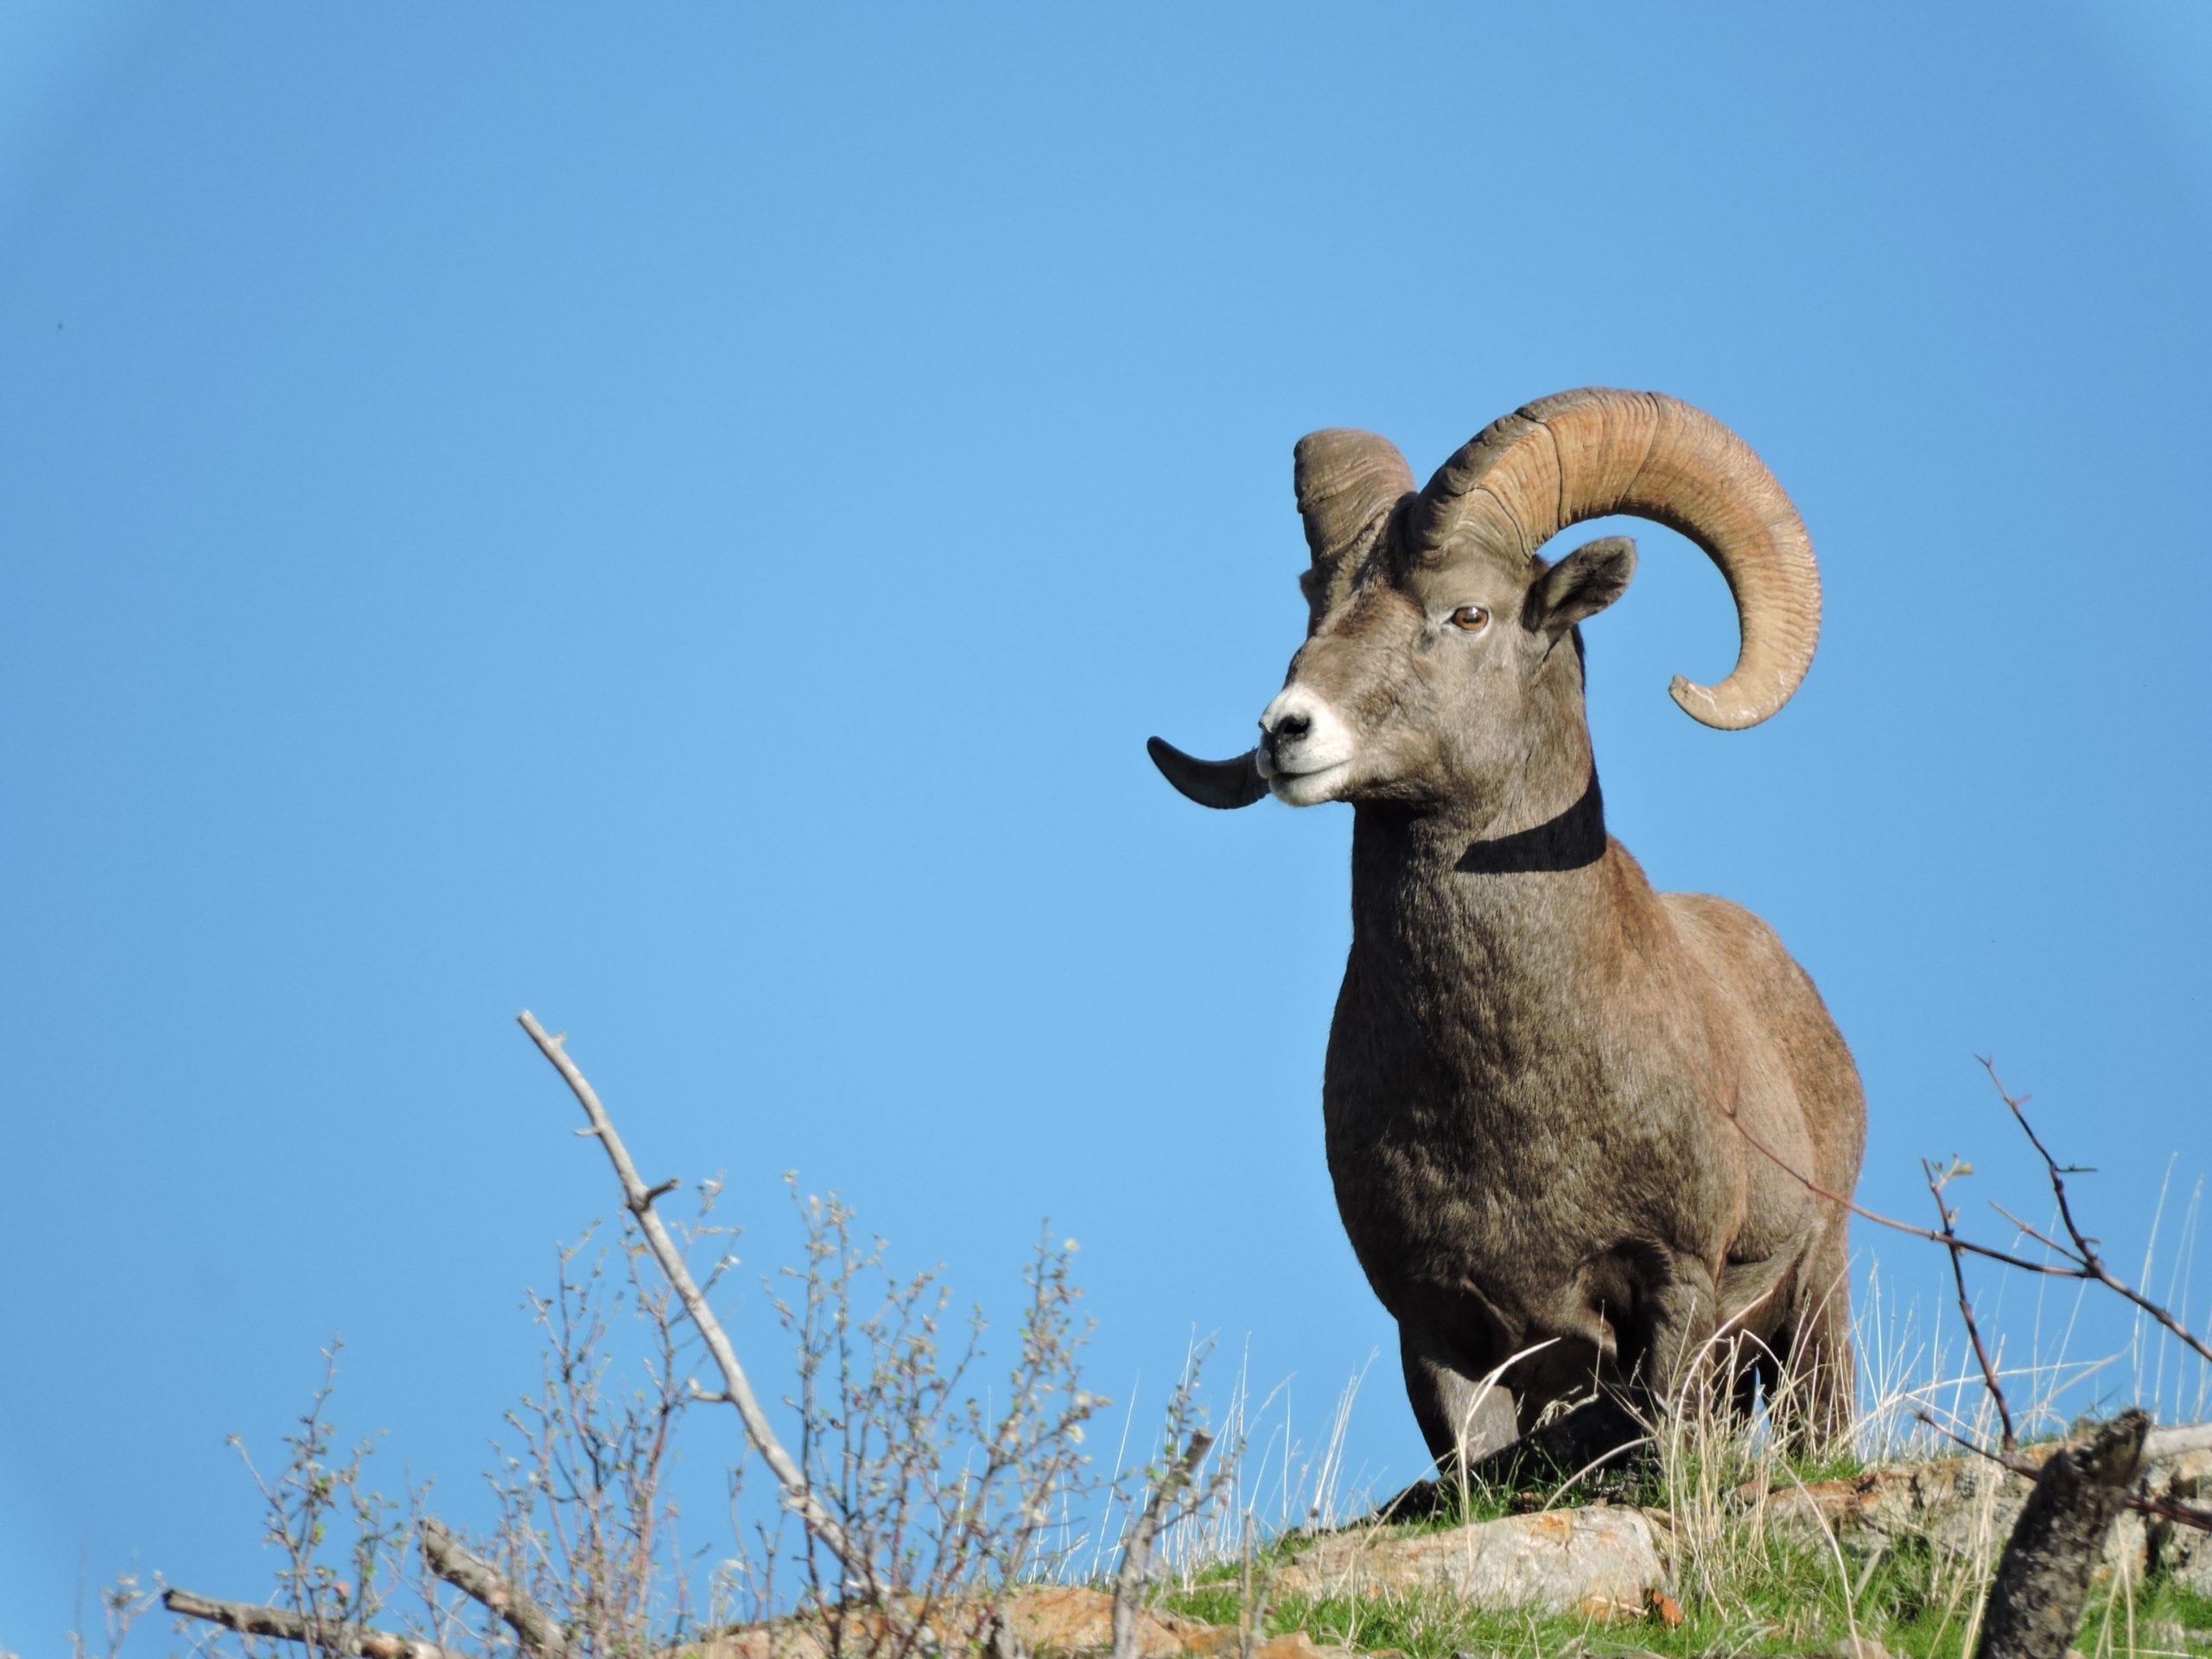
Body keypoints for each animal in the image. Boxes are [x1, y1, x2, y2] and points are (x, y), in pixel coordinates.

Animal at [1159, 393, 1866, 1478]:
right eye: (1315, 607)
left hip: (1812, 1313)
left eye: (1467, 613)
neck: (1512, 1085)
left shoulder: (1674, 1288)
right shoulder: (1439, 1337)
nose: (1287, 731)